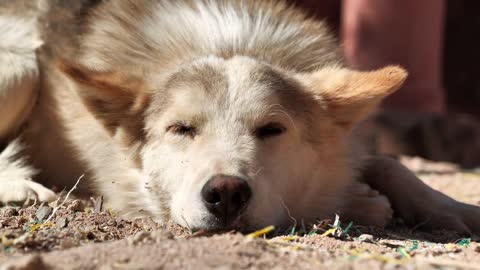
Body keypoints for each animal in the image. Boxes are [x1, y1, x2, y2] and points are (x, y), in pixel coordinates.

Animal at [0, 0, 480, 232]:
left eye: (271, 129)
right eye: (181, 129)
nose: (226, 194)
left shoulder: (349, 145)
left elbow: (390, 164)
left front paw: (453, 206)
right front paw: (360, 201)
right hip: (22, 66)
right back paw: (22, 186)